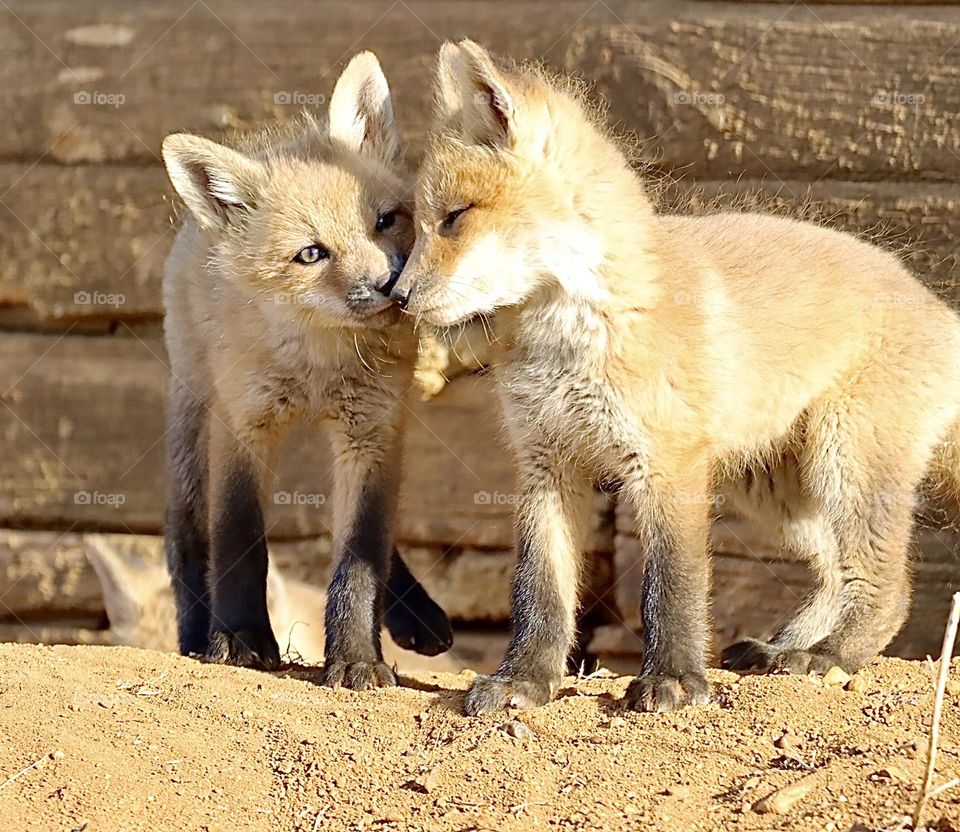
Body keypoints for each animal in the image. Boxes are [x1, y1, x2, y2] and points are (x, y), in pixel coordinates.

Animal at [160, 51, 452, 688]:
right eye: (312, 253)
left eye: (386, 221)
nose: (390, 285)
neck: (321, 364)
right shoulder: (243, 425)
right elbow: (240, 541)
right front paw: (241, 640)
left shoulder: (372, 431)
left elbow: (360, 556)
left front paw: (356, 656)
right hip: (191, 416)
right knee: (185, 534)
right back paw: (194, 636)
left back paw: (413, 614)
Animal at [390, 39, 960, 714]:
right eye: (419, 224)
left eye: (454, 218)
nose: (396, 296)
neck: (573, 337)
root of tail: (938, 306)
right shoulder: (547, 462)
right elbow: (540, 592)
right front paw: (524, 680)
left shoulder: (667, 463)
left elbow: (671, 585)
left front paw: (674, 681)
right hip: (776, 490)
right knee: (831, 572)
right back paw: (782, 650)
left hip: (844, 463)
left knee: (887, 586)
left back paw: (829, 656)